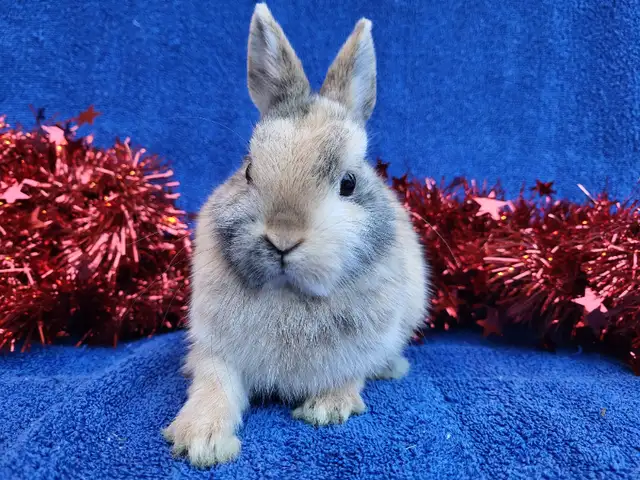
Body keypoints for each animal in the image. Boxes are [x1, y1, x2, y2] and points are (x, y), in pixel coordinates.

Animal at [163, 3, 430, 468]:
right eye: (249, 170)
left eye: (348, 183)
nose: (283, 238)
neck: (290, 294)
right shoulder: (216, 349)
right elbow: (214, 384)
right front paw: (201, 439)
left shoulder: (360, 348)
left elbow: (349, 375)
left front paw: (327, 409)